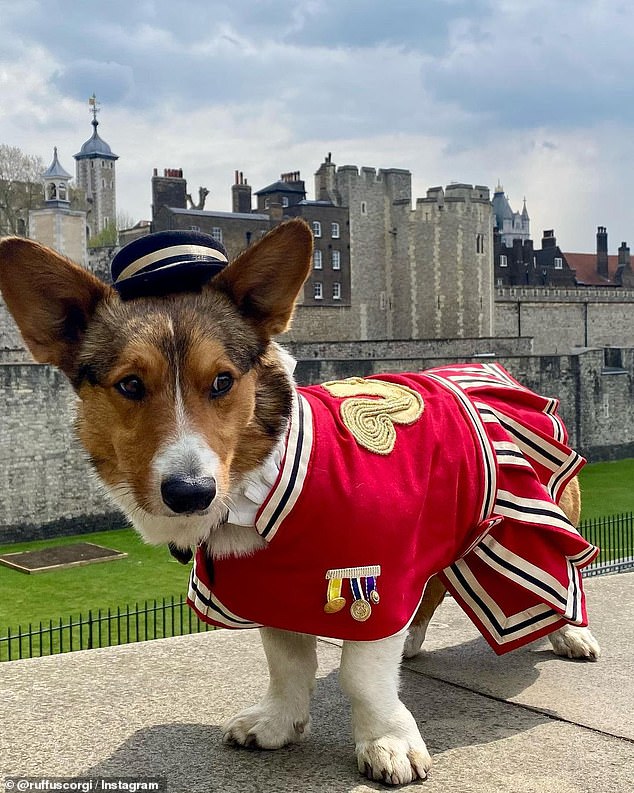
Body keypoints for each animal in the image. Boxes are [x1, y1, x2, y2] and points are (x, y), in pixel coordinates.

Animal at [0, 218, 600, 784]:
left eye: (222, 381)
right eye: (129, 385)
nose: (190, 493)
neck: (261, 489)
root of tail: (487, 366)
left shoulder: (376, 575)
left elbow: (361, 673)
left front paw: (387, 740)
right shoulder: (277, 590)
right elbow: (286, 663)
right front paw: (278, 724)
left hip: (538, 524)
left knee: (564, 583)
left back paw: (571, 633)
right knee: (430, 594)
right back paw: (411, 644)